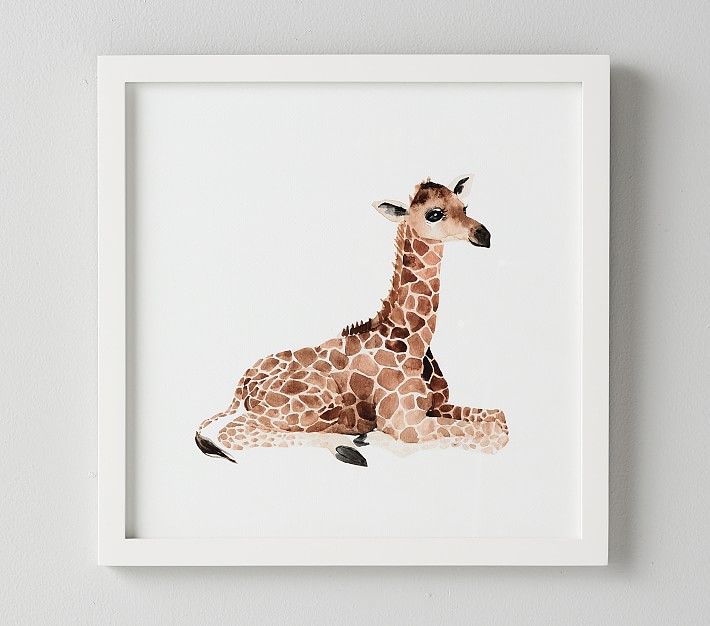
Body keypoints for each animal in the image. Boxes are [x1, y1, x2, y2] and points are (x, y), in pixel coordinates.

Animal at [195, 174, 508, 467]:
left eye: (464, 207)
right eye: (434, 213)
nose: (484, 235)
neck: (412, 341)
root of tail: (242, 384)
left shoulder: (438, 406)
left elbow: (500, 418)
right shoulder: (405, 424)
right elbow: (492, 435)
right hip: (317, 397)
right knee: (234, 431)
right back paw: (348, 447)